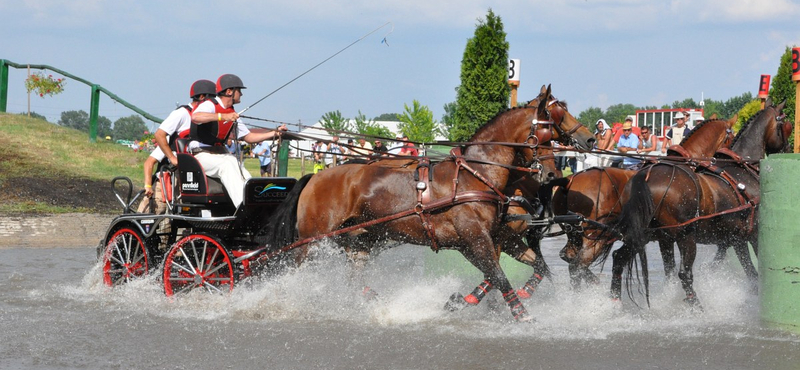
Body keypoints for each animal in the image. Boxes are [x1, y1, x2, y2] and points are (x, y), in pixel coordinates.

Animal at [262, 90, 592, 320]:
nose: (553, 175)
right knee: (296, 272)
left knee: (354, 279)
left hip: (360, 241)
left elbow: (536, 266)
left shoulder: (495, 237)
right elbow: (498, 276)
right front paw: (522, 315)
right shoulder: (475, 239)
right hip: (311, 242)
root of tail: (314, 177)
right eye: (547, 131)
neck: (475, 175)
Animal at [552, 117, 736, 288]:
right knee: (577, 264)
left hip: (576, 235)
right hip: (593, 235)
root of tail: (569, 181)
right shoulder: (667, 236)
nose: (732, 159)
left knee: (568, 257)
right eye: (731, 136)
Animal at [612, 99, 788, 308]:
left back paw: (613, 301)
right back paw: (696, 306)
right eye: (786, 125)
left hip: (643, 234)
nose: (787, 150)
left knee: (618, 258)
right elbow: (753, 273)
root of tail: (644, 177)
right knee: (684, 274)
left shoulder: (729, 238)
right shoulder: (749, 235)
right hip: (685, 237)